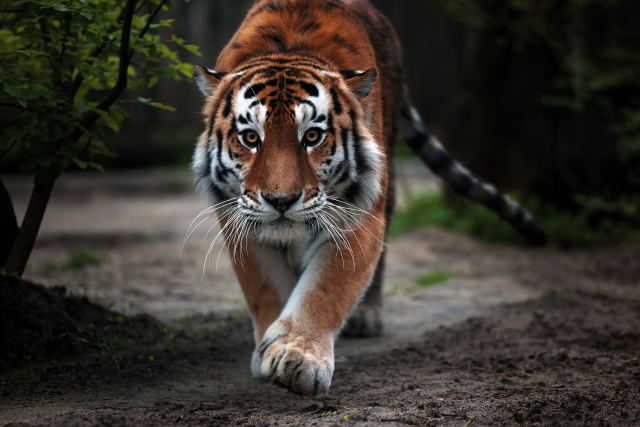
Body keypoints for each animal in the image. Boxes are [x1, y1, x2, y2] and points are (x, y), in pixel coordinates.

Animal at [191, 0, 544, 398]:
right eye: (250, 138)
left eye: (312, 136)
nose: (281, 200)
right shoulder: (237, 216)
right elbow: (264, 286)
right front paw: (269, 348)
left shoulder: (360, 211)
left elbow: (326, 288)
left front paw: (299, 355)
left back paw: (366, 316)